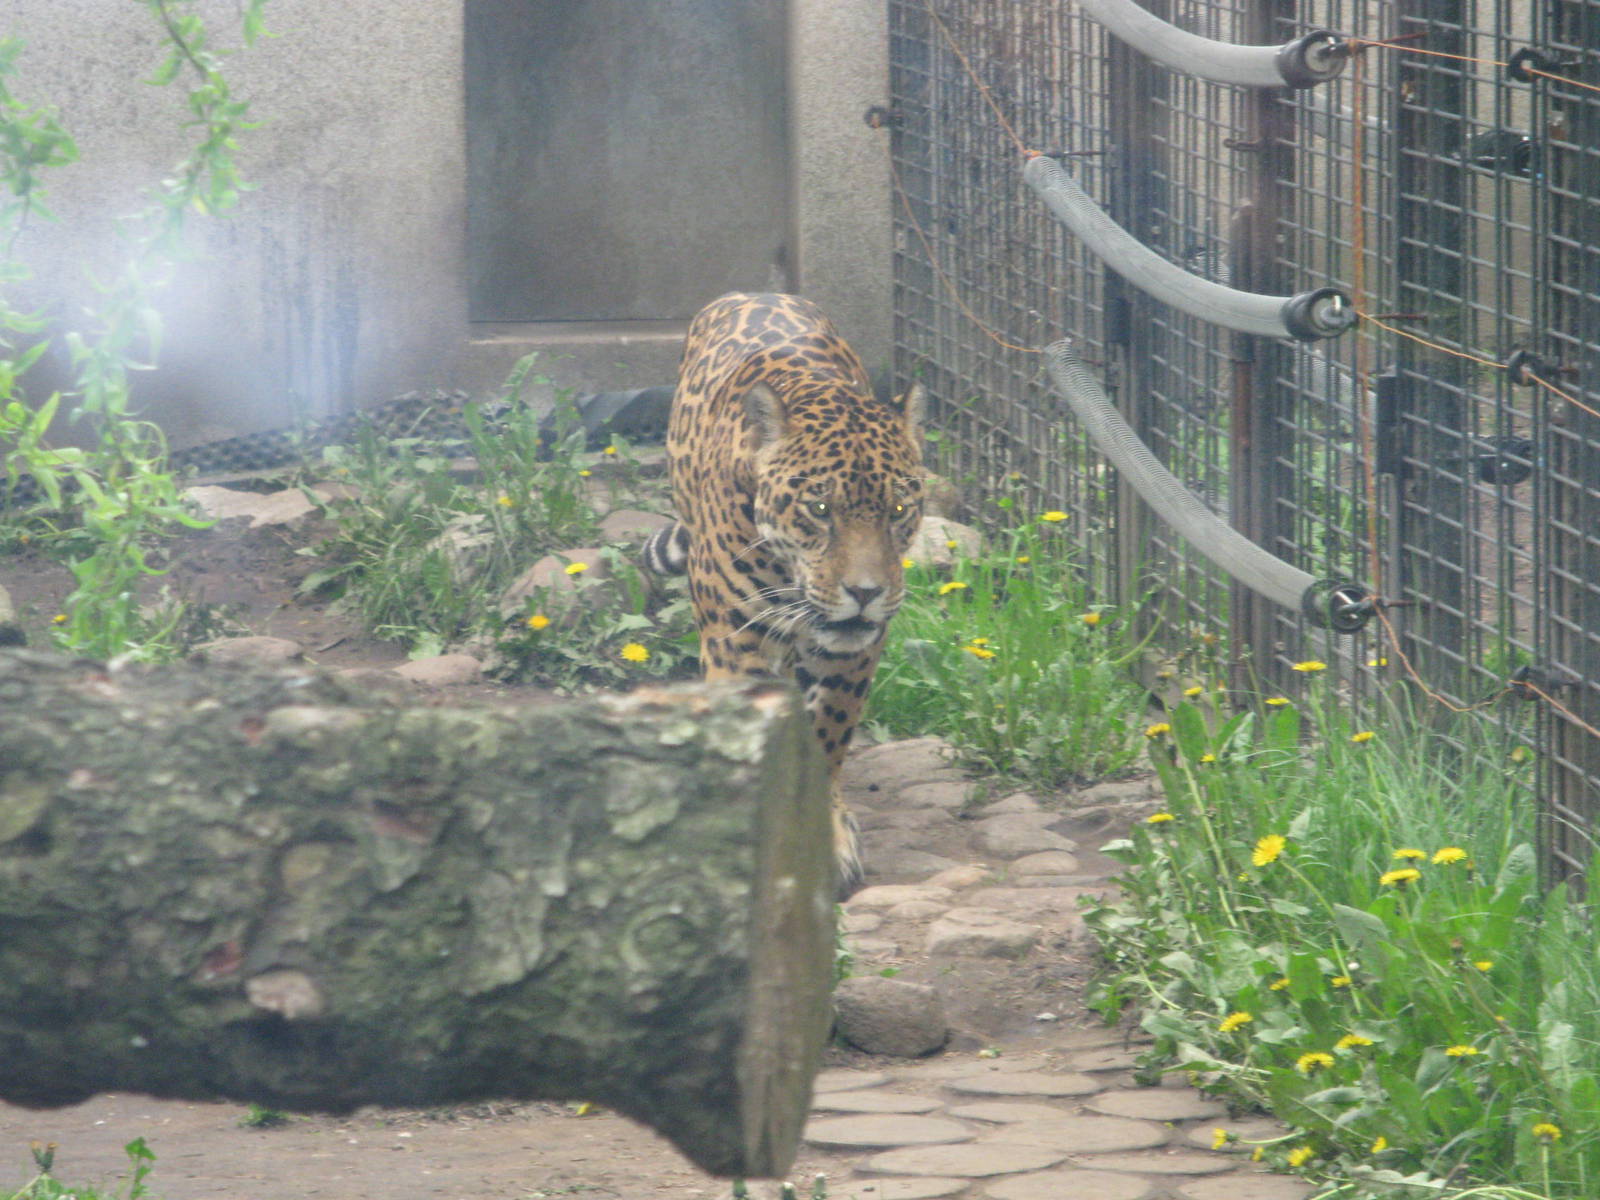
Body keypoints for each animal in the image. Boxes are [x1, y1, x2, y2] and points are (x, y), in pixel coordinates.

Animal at [642, 293, 926, 897]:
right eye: (819, 509)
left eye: (897, 510)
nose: (865, 592)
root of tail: (754, 293)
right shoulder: (734, 641)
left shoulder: (852, 654)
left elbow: (826, 736)